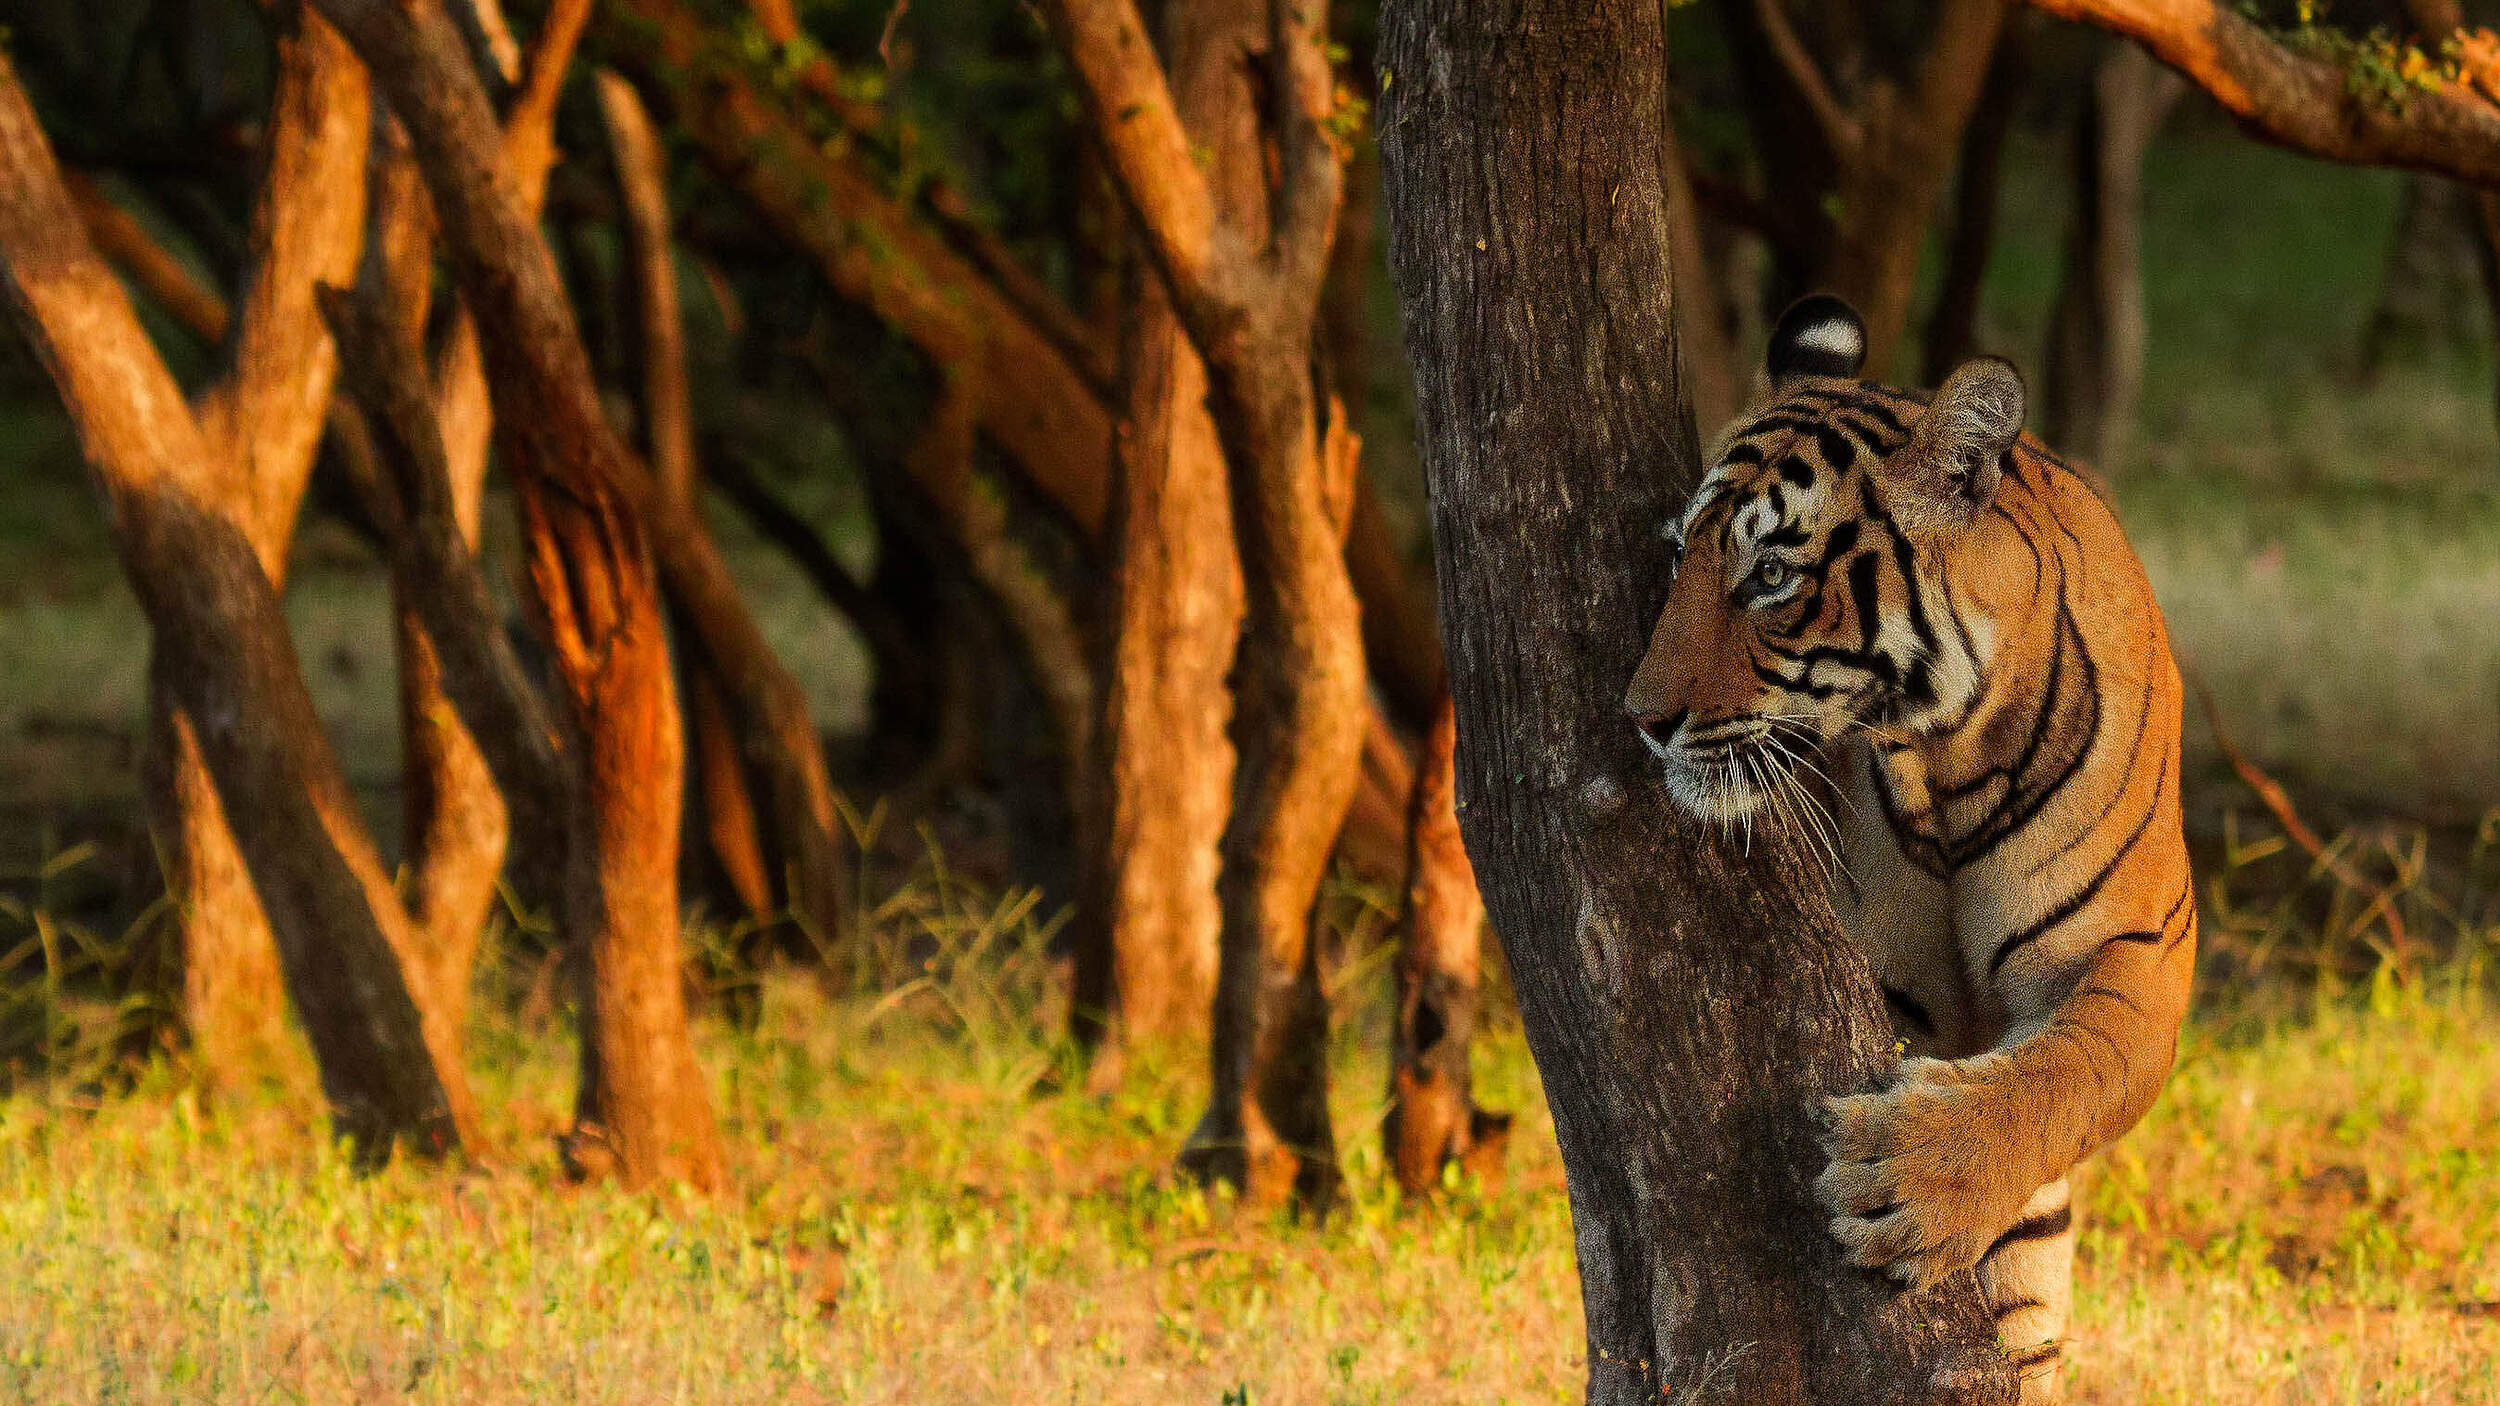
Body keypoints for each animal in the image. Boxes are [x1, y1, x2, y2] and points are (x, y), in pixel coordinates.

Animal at [1621, 295, 2196, 1403]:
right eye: (1678, 559)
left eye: (1770, 575)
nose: (1642, 719)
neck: (1948, 749)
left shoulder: (2139, 948)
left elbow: (2068, 1071)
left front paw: (1912, 1177)